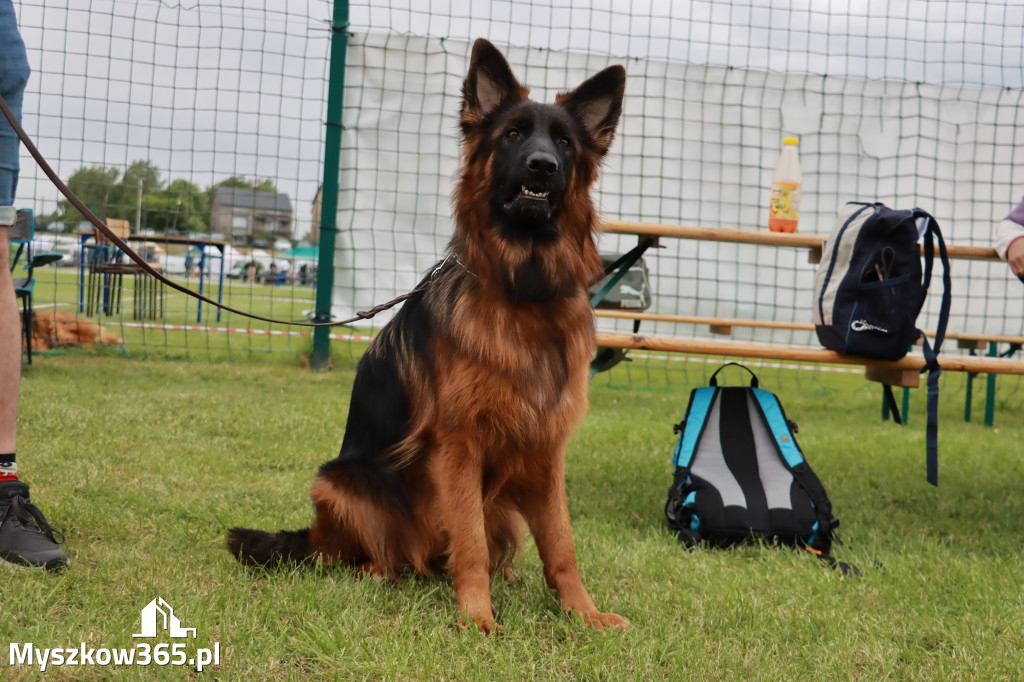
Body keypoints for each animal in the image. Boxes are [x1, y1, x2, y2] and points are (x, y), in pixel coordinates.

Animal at [228, 38, 626, 630]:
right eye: (513, 134)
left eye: (563, 142)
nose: (543, 165)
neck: (522, 291)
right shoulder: (458, 448)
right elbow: (472, 544)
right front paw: (478, 617)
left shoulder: (545, 451)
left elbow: (561, 543)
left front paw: (584, 613)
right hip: (340, 483)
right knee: (365, 555)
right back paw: (379, 571)